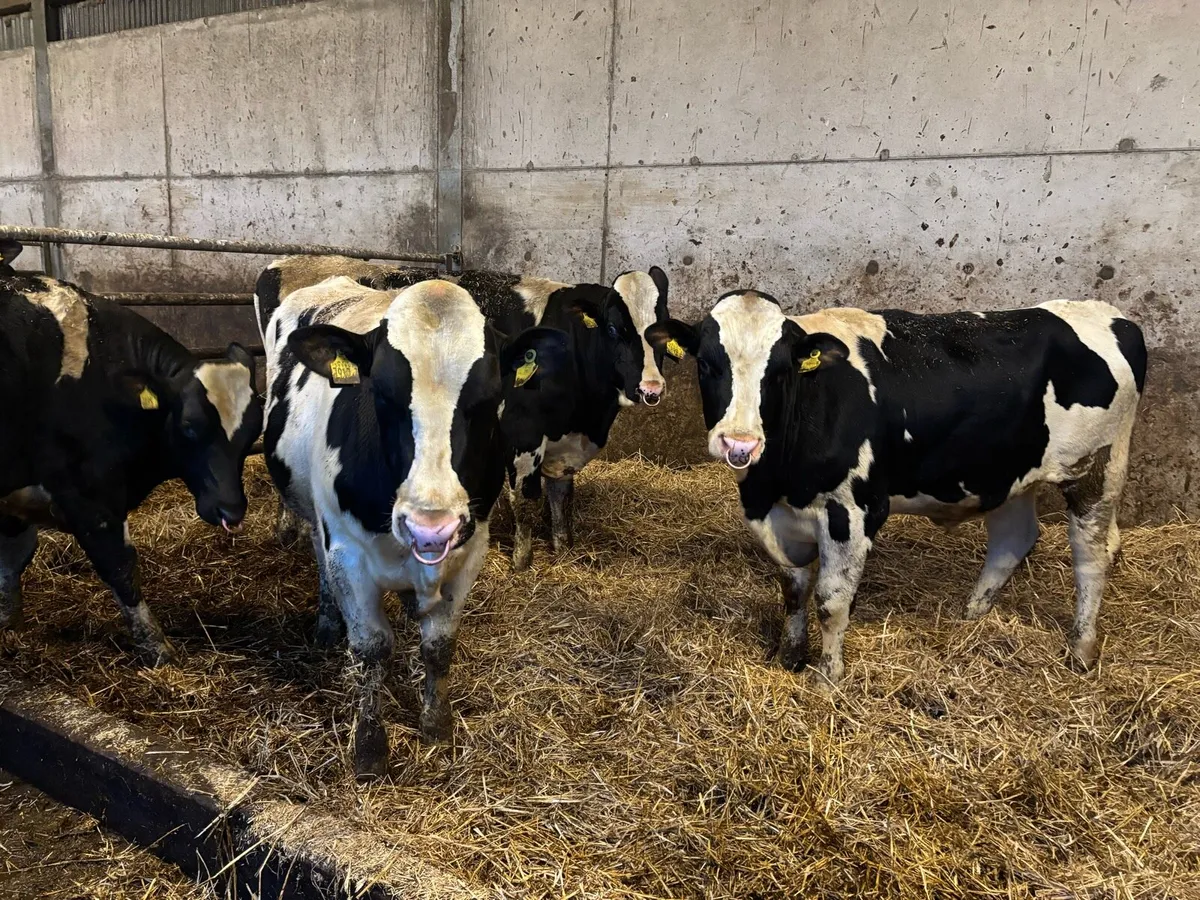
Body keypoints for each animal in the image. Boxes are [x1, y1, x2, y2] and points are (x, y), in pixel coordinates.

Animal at [0, 269, 263, 665]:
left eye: (254, 431)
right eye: (189, 425)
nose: (231, 509)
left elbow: (12, 561)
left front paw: (7, 623)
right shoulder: (89, 496)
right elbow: (121, 567)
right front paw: (158, 649)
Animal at [254, 257, 673, 570]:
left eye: (662, 333)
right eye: (615, 329)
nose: (650, 389)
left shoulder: (565, 443)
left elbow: (561, 496)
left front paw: (563, 547)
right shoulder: (521, 433)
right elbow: (525, 499)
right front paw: (522, 561)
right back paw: (287, 531)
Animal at [262, 275, 570, 777]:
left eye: (488, 399)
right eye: (382, 395)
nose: (431, 528)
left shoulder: (470, 547)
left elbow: (439, 645)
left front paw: (436, 725)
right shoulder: (347, 552)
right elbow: (371, 649)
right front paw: (369, 749)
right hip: (315, 517)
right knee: (319, 560)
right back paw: (327, 624)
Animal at [647, 291, 1146, 684]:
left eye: (780, 371)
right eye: (707, 363)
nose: (739, 442)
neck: (775, 481)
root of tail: (1113, 316)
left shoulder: (854, 510)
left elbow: (830, 601)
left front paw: (827, 679)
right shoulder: (774, 515)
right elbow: (793, 589)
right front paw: (790, 657)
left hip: (1097, 467)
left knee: (1092, 556)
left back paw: (1081, 649)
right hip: (1005, 474)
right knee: (1013, 540)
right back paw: (971, 617)